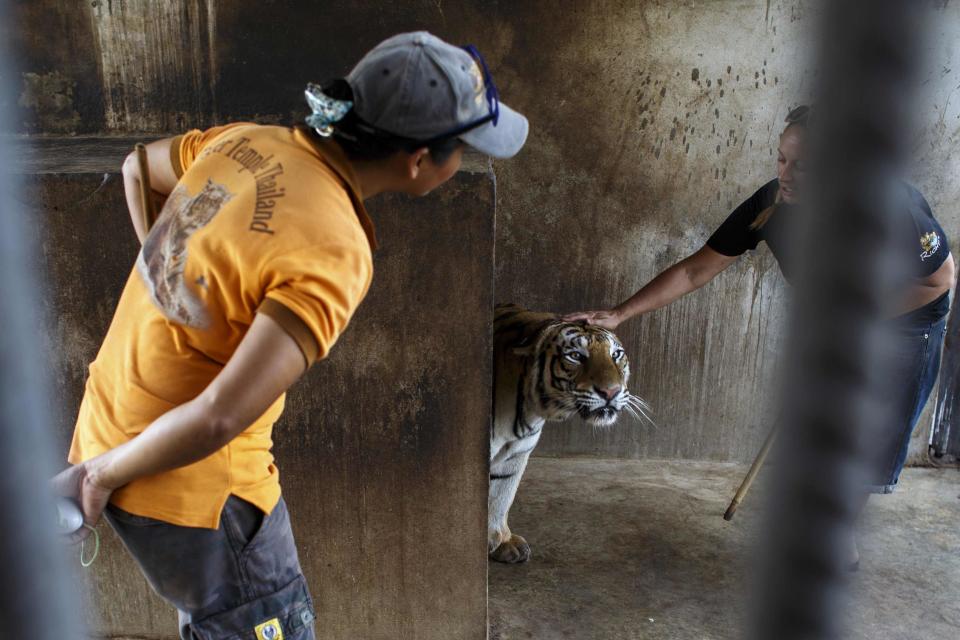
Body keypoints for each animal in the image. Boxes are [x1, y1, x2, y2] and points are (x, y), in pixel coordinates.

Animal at [488, 302, 652, 564]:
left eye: (615, 355)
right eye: (575, 356)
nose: (611, 392)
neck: (531, 408)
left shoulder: (515, 455)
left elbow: (502, 497)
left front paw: (502, 542)